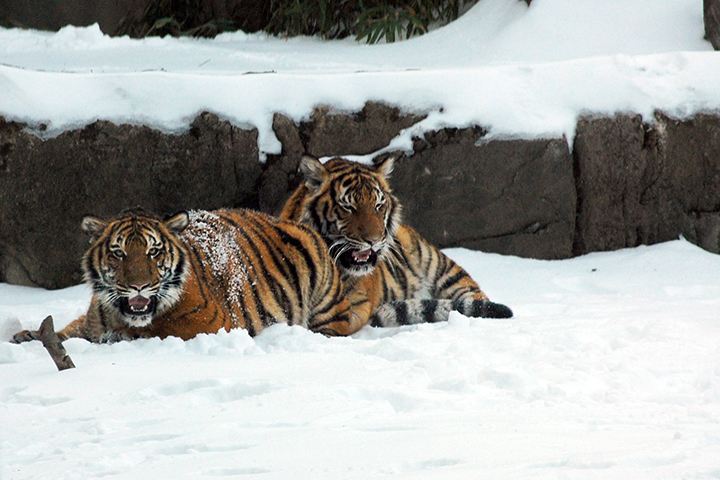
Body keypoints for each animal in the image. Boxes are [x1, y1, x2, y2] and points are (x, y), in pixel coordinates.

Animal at [11, 207, 359, 344]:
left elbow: (159, 331)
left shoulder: (211, 324)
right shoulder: (91, 321)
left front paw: (119, 337)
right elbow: (65, 332)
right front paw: (27, 336)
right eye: (118, 253)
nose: (138, 285)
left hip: (325, 304)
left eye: (153, 252)